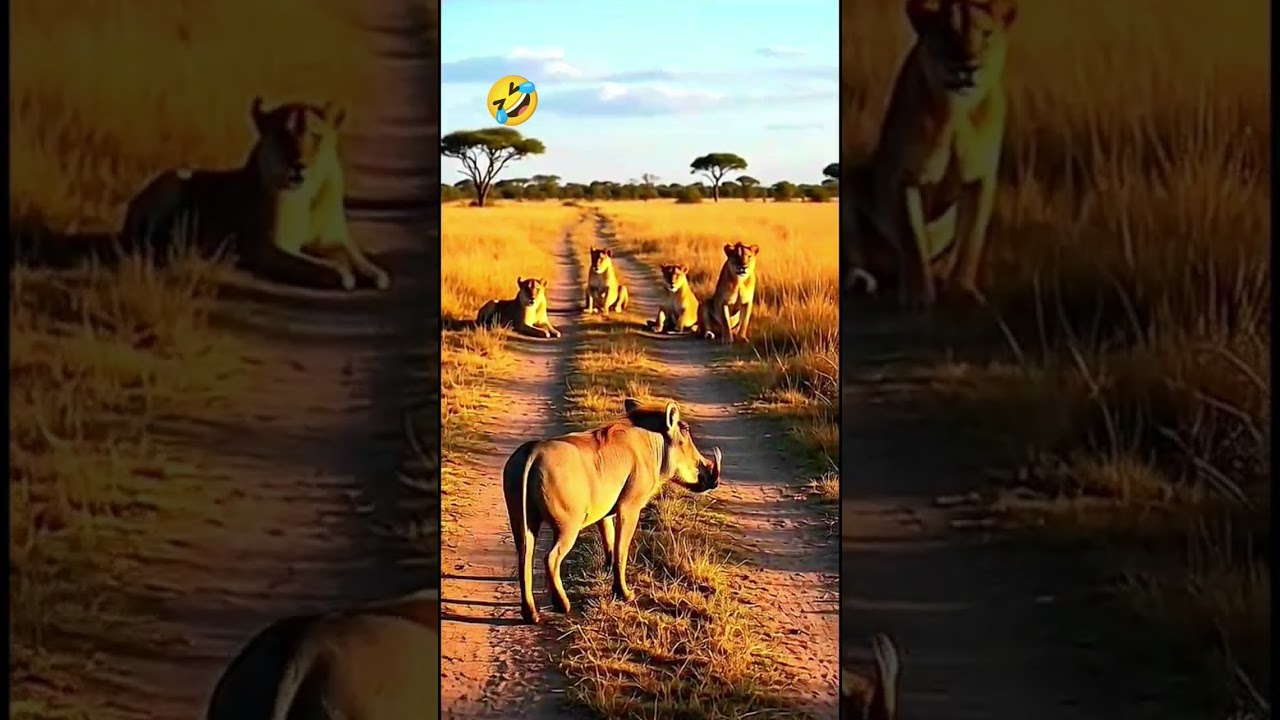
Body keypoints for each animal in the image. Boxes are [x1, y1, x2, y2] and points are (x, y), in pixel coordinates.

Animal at [121, 97, 390, 291]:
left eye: (316, 136)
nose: (299, 165)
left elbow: (357, 256)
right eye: (282, 134)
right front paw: (342, 272)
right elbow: (313, 264)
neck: (309, 193)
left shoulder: (333, 239)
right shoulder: (269, 247)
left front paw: (375, 273)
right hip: (176, 179)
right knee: (141, 239)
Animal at [843, 0, 1017, 307]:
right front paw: (918, 296)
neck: (957, 111)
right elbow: (912, 239)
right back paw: (862, 279)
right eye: (947, 33)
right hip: (851, 180)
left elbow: (971, 240)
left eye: (986, 34)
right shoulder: (903, 176)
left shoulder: (982, 178)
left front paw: (962, 289)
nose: (968, 68)